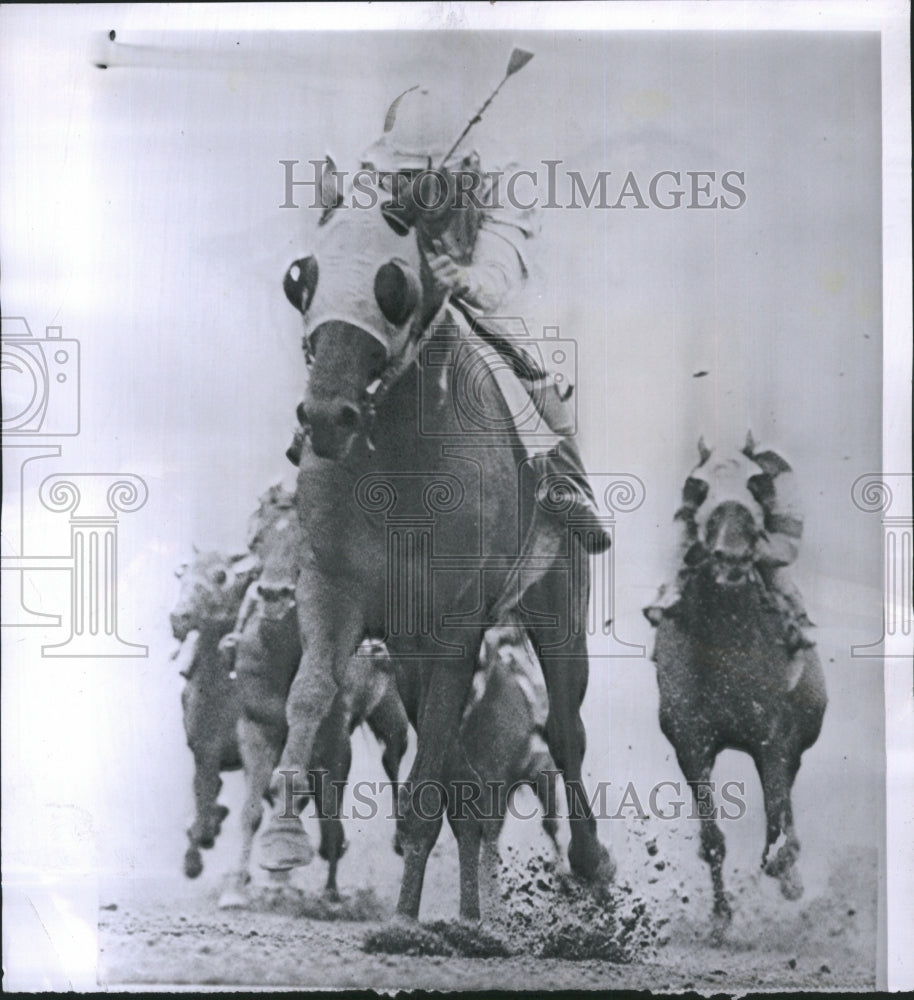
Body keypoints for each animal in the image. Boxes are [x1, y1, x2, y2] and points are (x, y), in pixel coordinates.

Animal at [256, 170, 608, 920]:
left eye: (394, 286)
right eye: (303, 279)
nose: (326, 416)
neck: (398, 471)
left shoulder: (457, 626)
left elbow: (431, 786)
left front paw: (403, 919)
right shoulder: (334, 592)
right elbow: (311, 691)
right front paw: (282, 833)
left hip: (559, 605)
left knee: (567, 731)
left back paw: (589, 863)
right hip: (411, 657)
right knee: (463, 779)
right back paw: (471, 913)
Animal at [648, 454, 828, 936]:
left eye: (755, 488)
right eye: (701, 491)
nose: (730, 558)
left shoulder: (774, 739)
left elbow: (777, 817)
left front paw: (782, 870)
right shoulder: (692, 744)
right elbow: (713, 838)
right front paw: (720, 917)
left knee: (784, 806)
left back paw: (791, 876)